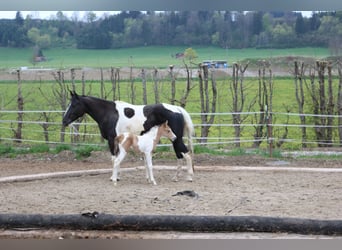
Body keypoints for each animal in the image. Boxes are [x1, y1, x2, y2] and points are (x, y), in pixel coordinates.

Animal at [61, 91, 195, 183]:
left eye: (74, 105)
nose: (64, 121)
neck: (109, 113)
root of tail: (177, 109)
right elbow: (117, 159)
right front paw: (117, 176)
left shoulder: (112, 140)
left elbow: (114, 159)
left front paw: (114, 177)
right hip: (174, 139)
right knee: (180, 155)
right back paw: (176, 177)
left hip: (176, 138)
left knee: (187, 154)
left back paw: (189, 177)